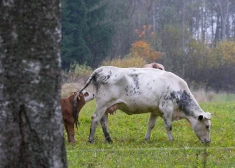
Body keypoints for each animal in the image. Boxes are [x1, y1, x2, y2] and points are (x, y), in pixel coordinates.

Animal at [74, 66, 212, 144]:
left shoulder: (155, 111)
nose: (208, 142)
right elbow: (168, 126)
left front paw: (146, 139)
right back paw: (91, 140)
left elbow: (151, 125)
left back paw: (109, 140)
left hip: (106, 107)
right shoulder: (167, 109)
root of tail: (101, 69)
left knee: (103, 122)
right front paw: (171, 140)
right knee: (95, 118)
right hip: (103, 104)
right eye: (207, 126)